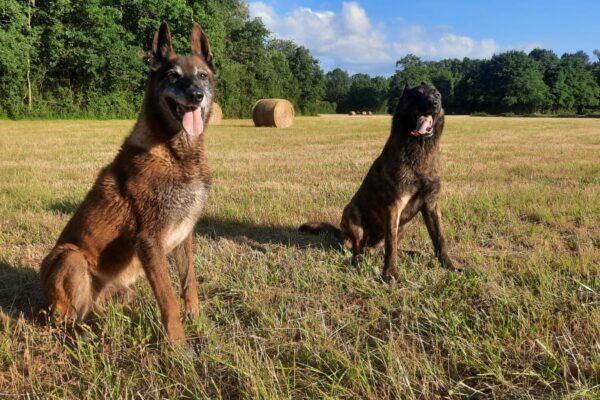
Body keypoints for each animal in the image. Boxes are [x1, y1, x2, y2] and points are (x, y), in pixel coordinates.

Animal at [38, 21, 216, 344]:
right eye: (173, 76)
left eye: (202, 76)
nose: (196, 95)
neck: (176, 155)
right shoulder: (149, 241)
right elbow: (169, 300)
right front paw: (179, 347)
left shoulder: (183, 235)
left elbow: (189, 284)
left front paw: (197, 322)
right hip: (70, 257)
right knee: (64, 320)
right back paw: (82, 337)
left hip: (121, 292)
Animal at [300, 81, 460, 282]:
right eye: (417, 94)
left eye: (437, 94)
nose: (433, 103)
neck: (419, 151)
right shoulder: (393, 206)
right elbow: (391, 246)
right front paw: (390, 273)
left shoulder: (431, 205)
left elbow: (440, 239)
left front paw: (450, 266)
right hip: (353, 215)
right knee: (359, 248)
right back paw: (358, 261)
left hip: (404, 226)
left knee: (379, 249)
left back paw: (410, 253)